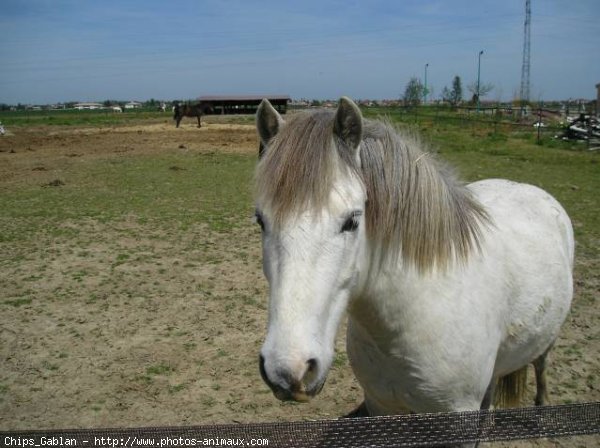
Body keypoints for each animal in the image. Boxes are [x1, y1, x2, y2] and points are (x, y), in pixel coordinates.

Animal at [253, 97, 572, 428]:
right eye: (260, 219)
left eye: (352, 221)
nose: (288, 369)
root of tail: (528, 188)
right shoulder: (380, 405)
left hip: (548, 338)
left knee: (542, 366)